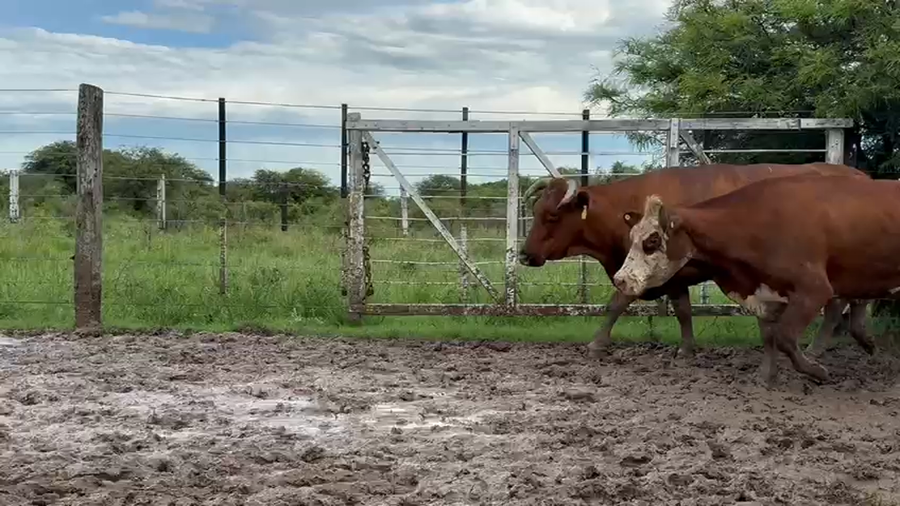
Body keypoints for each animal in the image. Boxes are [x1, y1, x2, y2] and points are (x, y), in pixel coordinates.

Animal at [518, 163, 870, 360]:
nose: (524, 254)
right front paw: (687, 349)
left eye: (551, 217)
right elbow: (683, 310)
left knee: (838, 304)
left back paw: (820, 347)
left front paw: (596, 344)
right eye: (535, 211)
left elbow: (618, 302)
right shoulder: (672, 275)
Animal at [610, 174, 900, 386]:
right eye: (632, 236)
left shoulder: (814, 290)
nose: (620, 279)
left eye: (652, 240)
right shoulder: (763, 295)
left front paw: (817, 371)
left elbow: (784, 337)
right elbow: (769, 337)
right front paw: (766, 377)